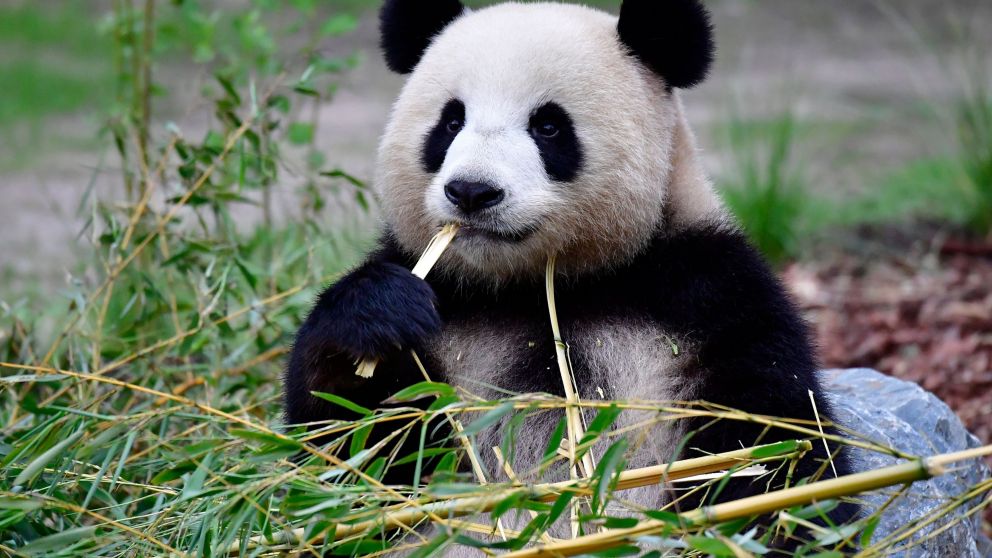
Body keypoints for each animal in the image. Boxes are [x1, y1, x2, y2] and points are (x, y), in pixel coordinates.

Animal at [286, 0, 856, 549]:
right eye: (449, 123)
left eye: (548, 126)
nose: (471, 191)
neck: (540, 285)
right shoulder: (443, 298)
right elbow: (350, 459)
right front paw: (376, 316)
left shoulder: (708, 295)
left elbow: (769, 448)